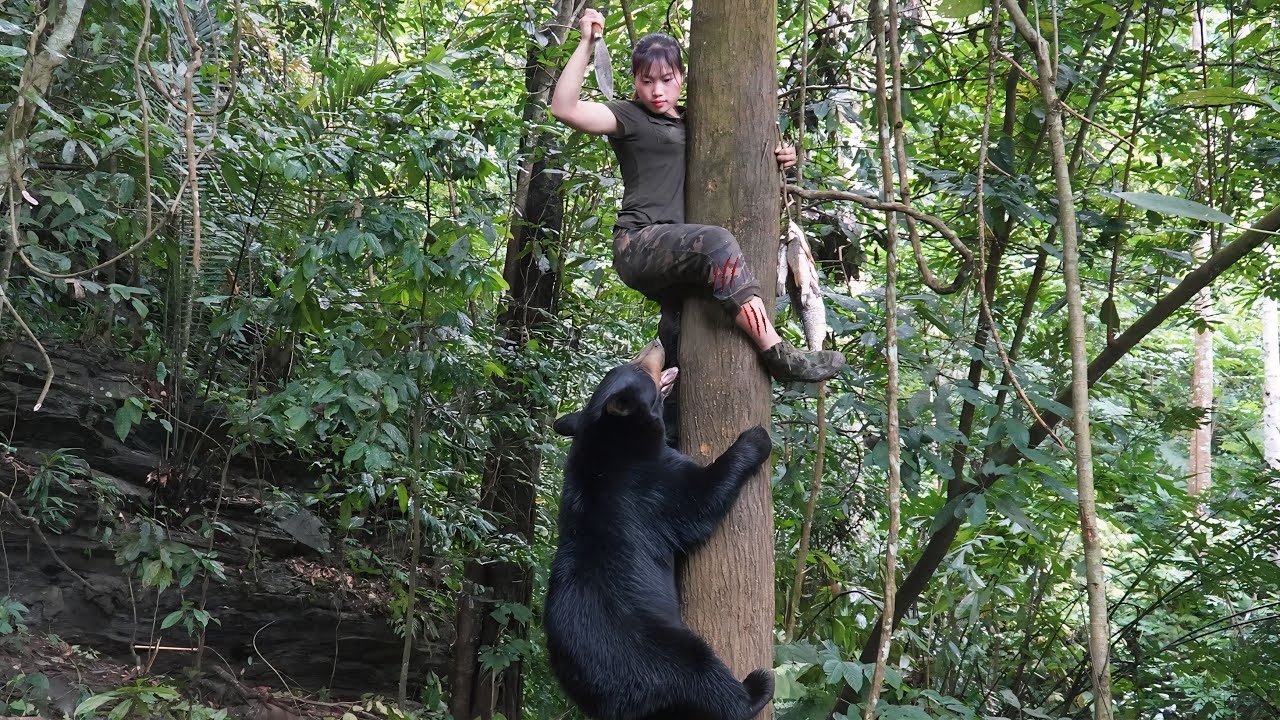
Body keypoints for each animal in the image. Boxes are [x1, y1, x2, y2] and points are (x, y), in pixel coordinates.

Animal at [544, 339, 776, 720]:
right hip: (655, 652)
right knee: (703, 675)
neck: (609, 438)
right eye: (638, 367)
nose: (656, 342)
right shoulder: (649, 486)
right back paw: (755, 688)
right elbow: (698, 501)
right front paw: (755, 440)